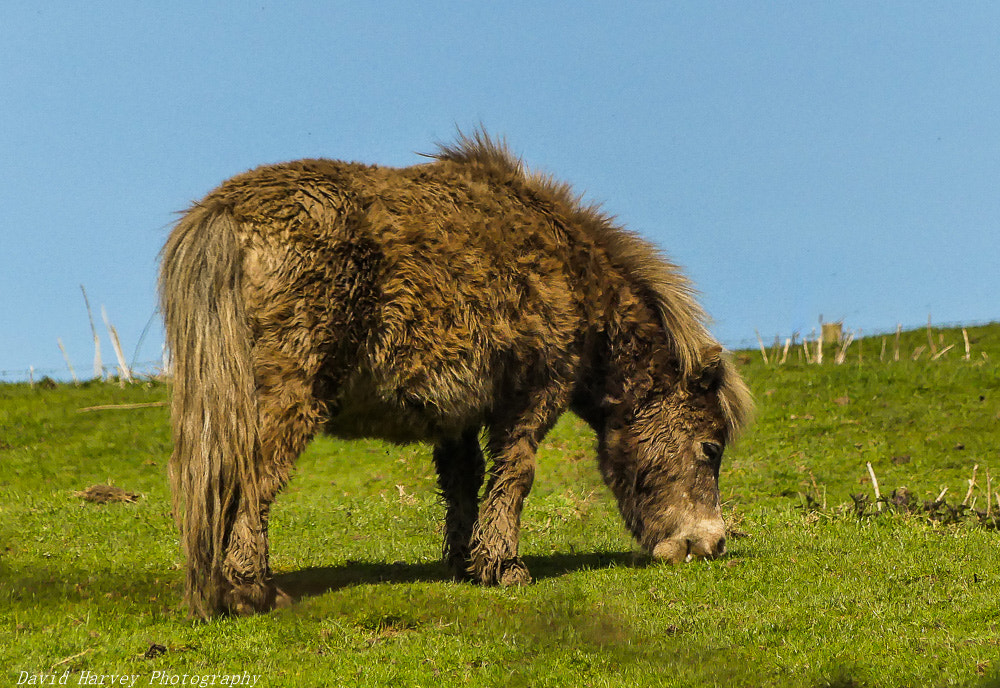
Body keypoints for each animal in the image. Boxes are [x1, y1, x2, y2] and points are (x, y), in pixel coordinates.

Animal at [160, 130, 752, 620]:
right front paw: (504, 567)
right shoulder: (534, 397)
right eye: (710, 449)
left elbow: (464, 481)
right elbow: (515, 475)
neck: (575, 277)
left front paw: (467, 564)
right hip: (289, 397)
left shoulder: (456, 417)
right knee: (253, 481)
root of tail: (225, 213)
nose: (711, 545)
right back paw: (251, 591)